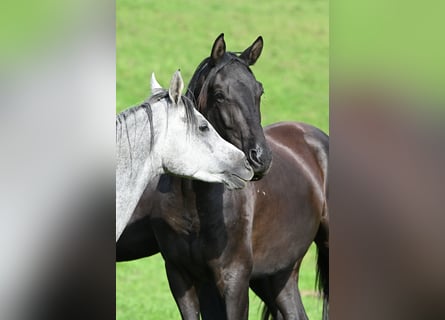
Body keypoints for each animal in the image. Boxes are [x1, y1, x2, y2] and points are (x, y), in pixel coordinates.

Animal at [116, 33, 328, 318]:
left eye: (259, 91)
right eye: (219, 94)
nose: (260, 158)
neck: (194, 210)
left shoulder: (234, 279)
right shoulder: (182, 277)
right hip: (278, 274)